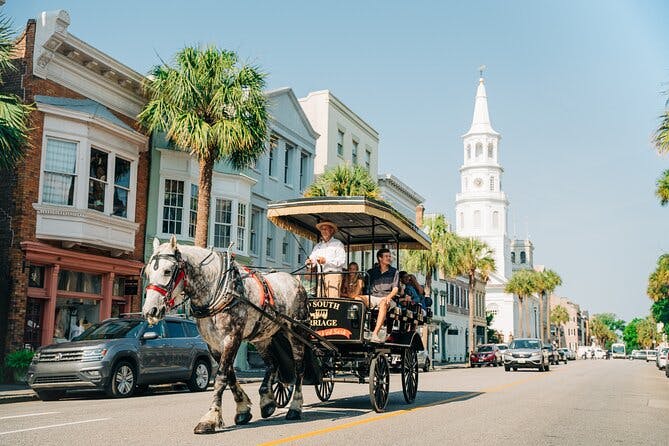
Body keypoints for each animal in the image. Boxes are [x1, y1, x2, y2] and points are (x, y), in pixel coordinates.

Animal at [142, 235, 310, 434]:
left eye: (167, 271)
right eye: (147, 272)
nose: (150, 310)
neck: (218, 289)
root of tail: (295, 280)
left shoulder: (232, 337)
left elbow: (221, 376)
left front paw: (210, 418)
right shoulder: (213, 344)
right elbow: (229, 374)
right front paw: (243, 409)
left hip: (297, 331)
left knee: (299, 368)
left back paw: (295, 407)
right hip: (262, 336)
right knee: (272, 364)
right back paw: (267, 402)